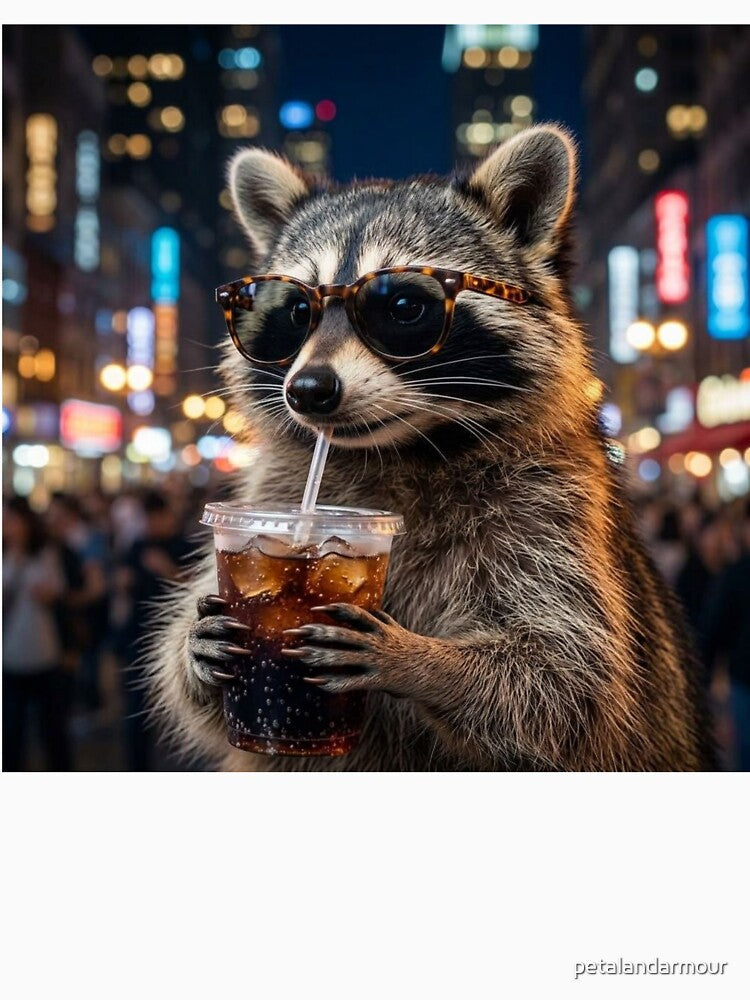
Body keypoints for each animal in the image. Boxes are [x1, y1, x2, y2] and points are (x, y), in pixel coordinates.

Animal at [147, 124, 715, 771]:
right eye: (295, 312)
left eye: (402, 307)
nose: (309, 390)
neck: (399, 449)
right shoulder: (278, 487)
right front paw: (193, 649)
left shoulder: (554, 511)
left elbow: (565, 679)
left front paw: (422, 662)